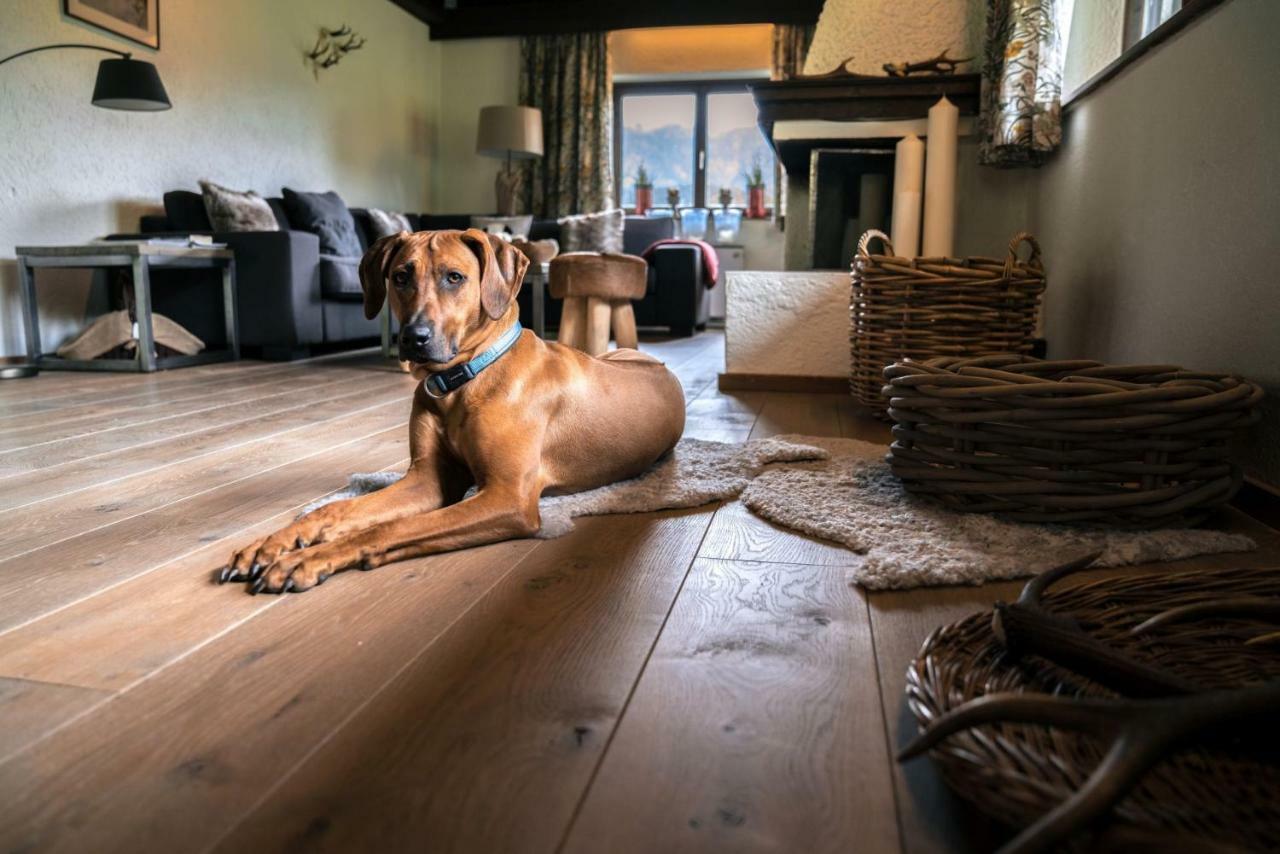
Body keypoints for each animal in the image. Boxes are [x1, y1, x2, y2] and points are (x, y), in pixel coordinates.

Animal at [215, 229, 686, 594]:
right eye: (400, 276)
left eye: (454, 277)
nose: (413, 338)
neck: (462, 381)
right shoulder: (426, 479)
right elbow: (333, 510)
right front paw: (274, 543)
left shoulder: (508, 497)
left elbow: (389, 528)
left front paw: (309, 558)